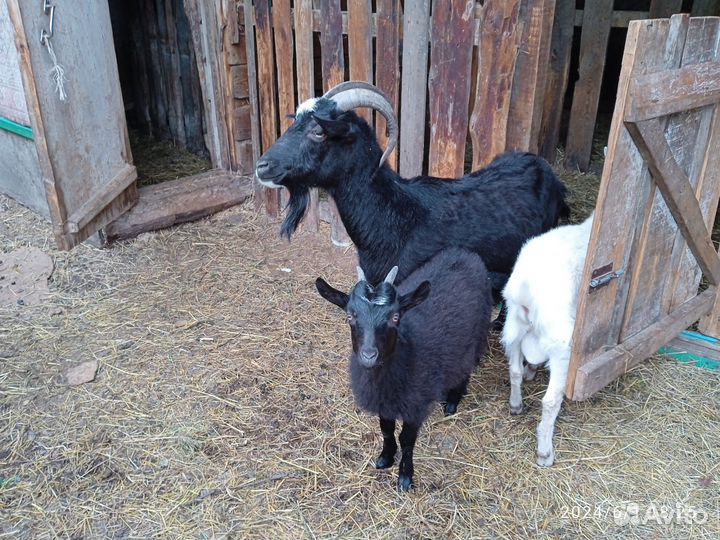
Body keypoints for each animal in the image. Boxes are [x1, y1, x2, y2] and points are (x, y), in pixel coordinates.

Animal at [315, 248, 492, 491]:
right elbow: (386, 429)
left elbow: (407, 440)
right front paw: (386, 457)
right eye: (350, 316)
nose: (369, 355)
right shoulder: (384, 402)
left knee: (466, 365)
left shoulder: (415, 404)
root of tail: (467, 254)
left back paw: (452, 402)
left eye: (395, 316)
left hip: (476, 333)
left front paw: (405, 476)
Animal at [501, 214, 594, 466]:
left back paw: (516, 403)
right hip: (563, 345)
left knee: (514, 370)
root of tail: (526, 292)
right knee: (550, 401)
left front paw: (530, 370)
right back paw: (545, 452)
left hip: (513, 327)